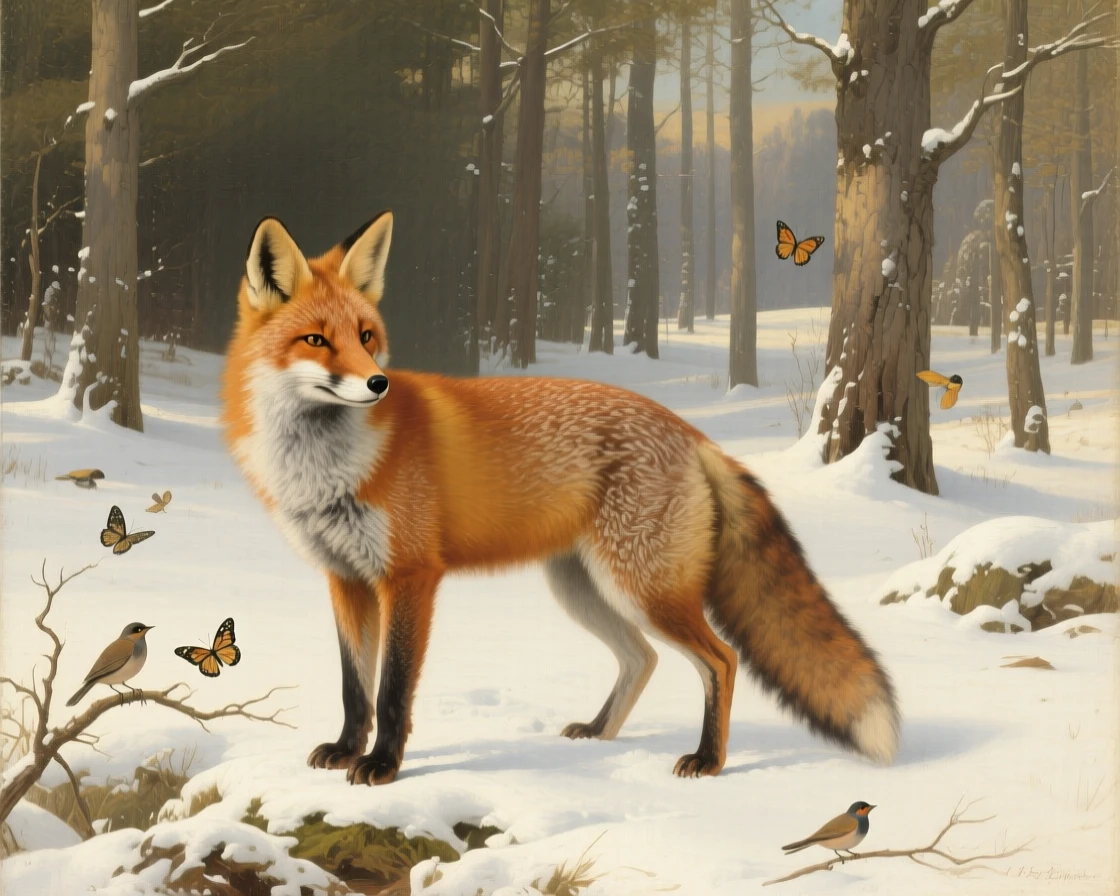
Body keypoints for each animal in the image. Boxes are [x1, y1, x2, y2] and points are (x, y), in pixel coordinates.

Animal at [221, 212, 901, 786]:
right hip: (584, 589)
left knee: (722, 659)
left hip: (643, 588)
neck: (325, 469)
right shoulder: (346, 579)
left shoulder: (410, 576)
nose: (378, 383)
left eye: (366, 336)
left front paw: (383, 765)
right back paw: (599, 733)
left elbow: (391, 691)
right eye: (316, 340)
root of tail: (690, 433)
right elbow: (353, 687)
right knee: (643, 659)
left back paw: (708, 760)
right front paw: (344, 750)